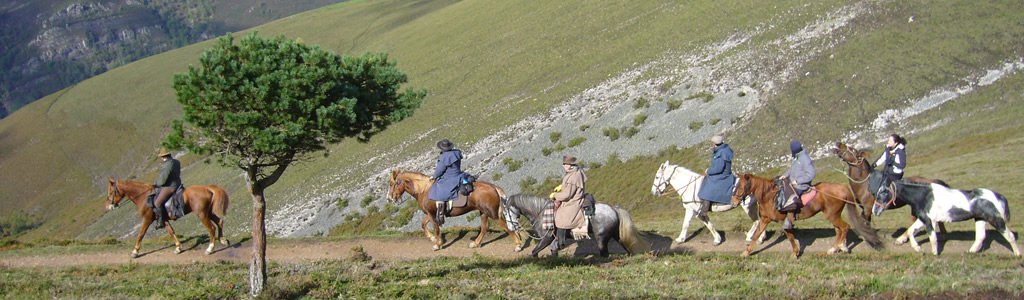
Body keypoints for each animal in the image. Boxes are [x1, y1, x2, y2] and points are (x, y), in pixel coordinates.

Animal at [387, 168, 524, 250]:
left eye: (391, 183)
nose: (389, 198)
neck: (424, 190)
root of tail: (493, 187)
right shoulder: (430, 213)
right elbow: (423, 224)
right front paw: (432, 238)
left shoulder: (432, 214)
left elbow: (436, 228)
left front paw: (437, 244)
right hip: (483, 212)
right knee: (485, 228)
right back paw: (475, 243)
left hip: (492, 213)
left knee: (506, 227)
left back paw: (518, 245)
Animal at [501, 193, 647, 256]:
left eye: (506, 211)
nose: (511, 227)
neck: (541, 212)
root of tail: (613, 208)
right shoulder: (553, 240)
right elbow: (553, 252)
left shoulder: (546, 238)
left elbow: (534, 252)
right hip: (616, 235)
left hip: (601, 238)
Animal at [729, 173, 880, 256]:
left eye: (740, 187)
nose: (733, 201)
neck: (770, 196)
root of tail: (842, 187)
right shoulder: (765, 219)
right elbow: (756, 235)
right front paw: (746, 252)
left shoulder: (783, 220)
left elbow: (789, 235)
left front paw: (795, 252)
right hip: (833, 215)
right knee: (839, 230)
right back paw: (837, 248)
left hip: (832, 215)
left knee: (844, 228)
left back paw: (836, 248)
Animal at [868, 170, 1019, 254]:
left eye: (883, 192)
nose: (875, 210)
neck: (924, 196)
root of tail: (999, 196)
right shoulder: (923, 219)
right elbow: (911, 231)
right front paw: (918, 249)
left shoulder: (930, 221)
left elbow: (933, 238)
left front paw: (935, 254)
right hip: (980, 219)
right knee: (980, 237)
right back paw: (970, 252)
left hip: (996, 220)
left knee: (1010, 236)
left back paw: (1018, 254)